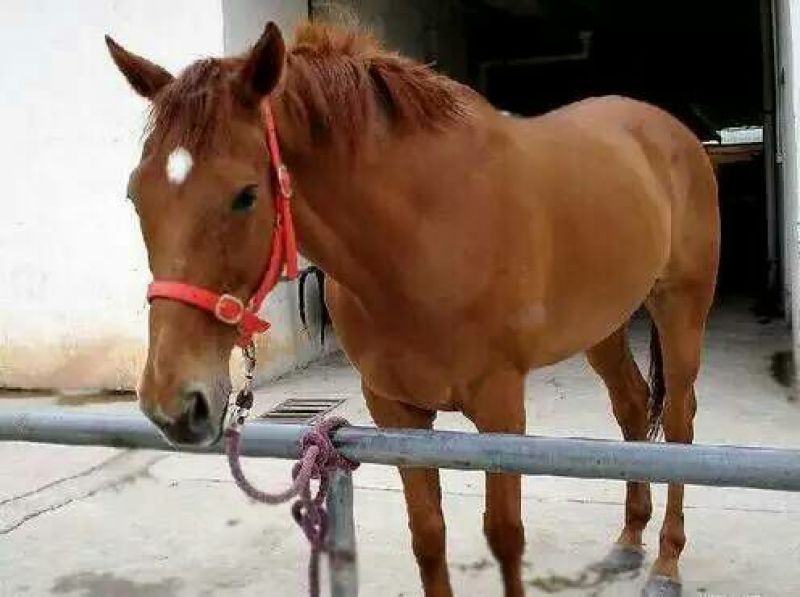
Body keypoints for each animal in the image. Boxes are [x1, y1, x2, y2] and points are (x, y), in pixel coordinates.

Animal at [106, 20, 719, 597]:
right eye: (135, 195)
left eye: (245, 195)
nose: (173, 405)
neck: (424, 234)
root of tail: (669, 131)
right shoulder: (395, 409)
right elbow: (427, 535)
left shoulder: (500, 407)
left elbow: (505, 537)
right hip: (602, 326)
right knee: (632, 406)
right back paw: (629, 540)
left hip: (681, 307)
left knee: (680, 423)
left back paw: (666, 562)